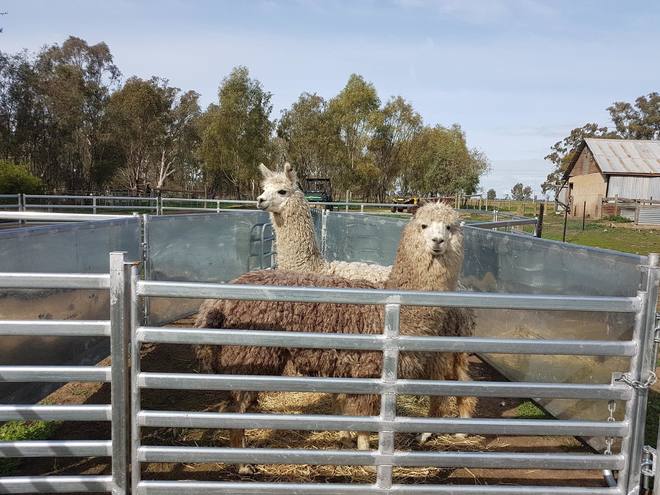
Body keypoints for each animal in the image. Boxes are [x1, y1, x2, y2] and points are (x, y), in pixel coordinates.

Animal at [194, 202, 477, 467]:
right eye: (423, 226)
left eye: (450, 227)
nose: (437, 241)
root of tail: (213, 305)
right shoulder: (368, 370)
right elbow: (365, 417)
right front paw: (363, 450)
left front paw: (349, 439)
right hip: (249, 356)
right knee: (235, 408)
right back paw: (242, 464)